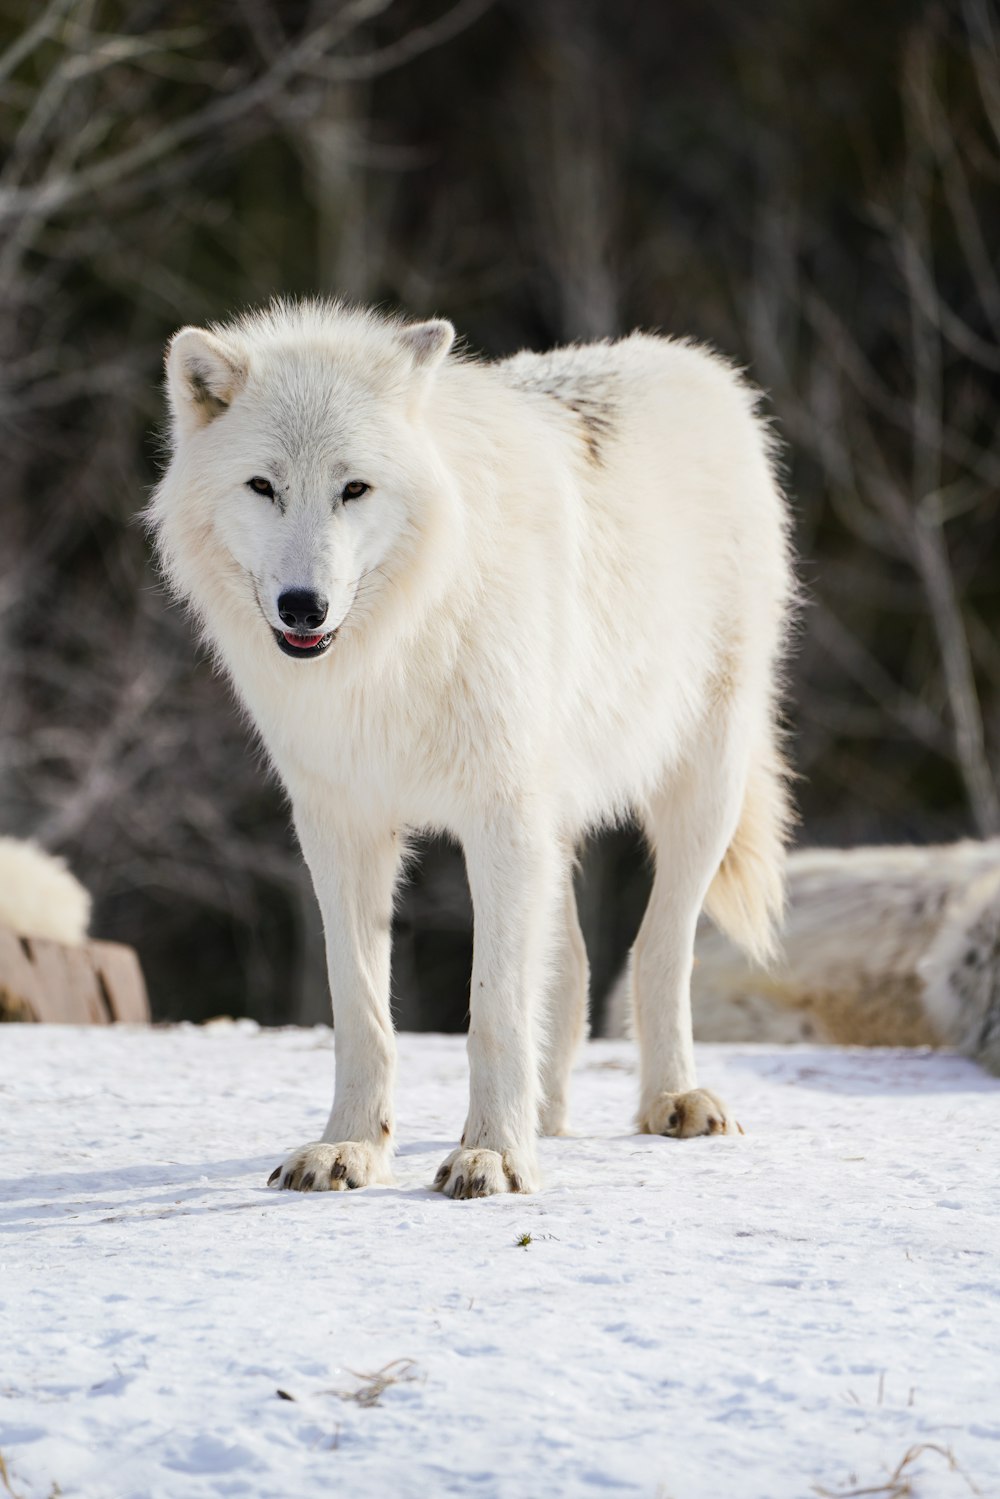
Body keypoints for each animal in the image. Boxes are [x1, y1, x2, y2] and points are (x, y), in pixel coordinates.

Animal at [148, 298, 791, 1199]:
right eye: (263, 486)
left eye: (354, 487)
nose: (304, 606)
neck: (392, 653)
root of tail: (692, 362)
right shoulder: (340, 827)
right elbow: (361, 1009)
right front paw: (350, 1145)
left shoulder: (500, 819)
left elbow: (492, 1008)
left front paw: (493, 1154)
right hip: (558, 823)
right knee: (573, 965)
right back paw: (548, 1116)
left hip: (701, 788)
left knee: (659, 949)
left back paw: (672, 1100)